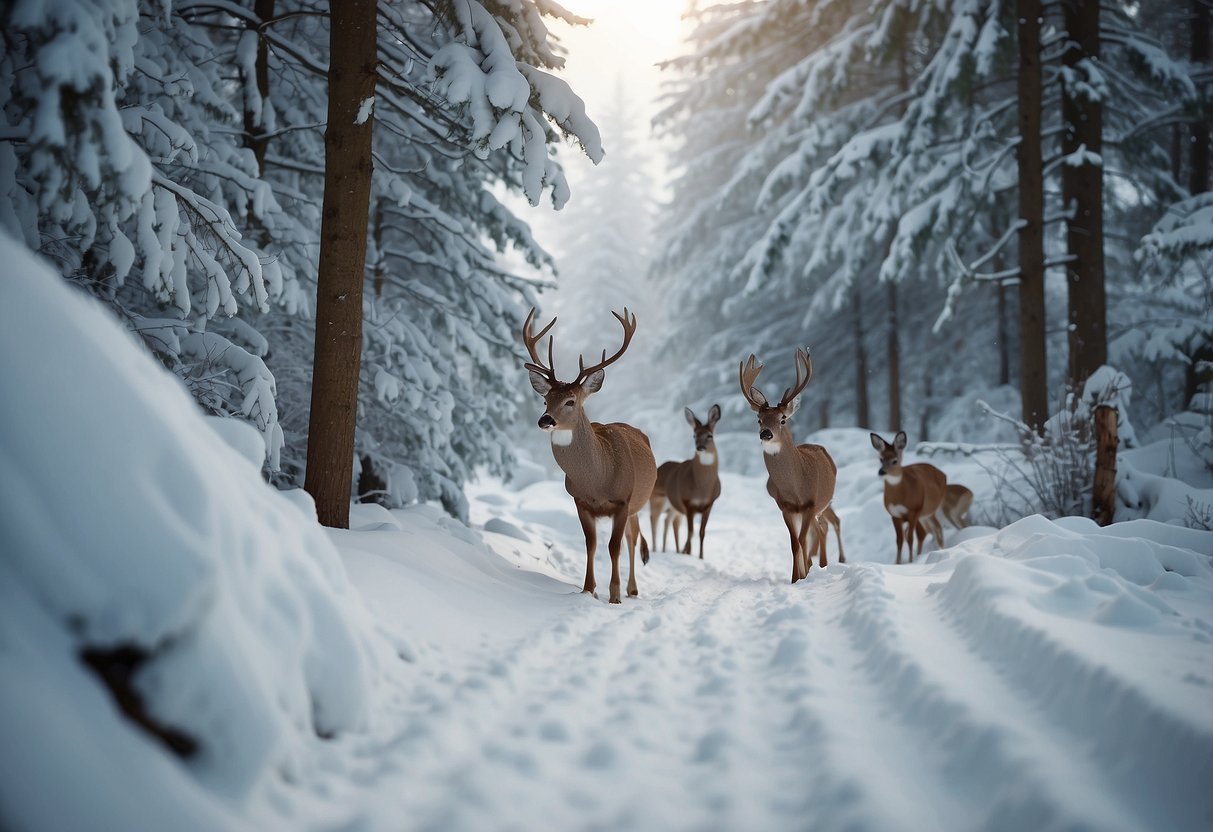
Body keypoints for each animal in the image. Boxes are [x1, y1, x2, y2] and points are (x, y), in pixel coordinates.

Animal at [519, 306, 655, 606]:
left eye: (570, 401)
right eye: (545, 399)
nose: (545, 420)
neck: (598, 480)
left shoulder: (622, 500)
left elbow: (614, 547)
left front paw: (614, 595)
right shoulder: (580, 501)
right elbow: (590, 545)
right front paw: (588, 589)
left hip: (637, 502)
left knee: (632, 539)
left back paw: (632, 589)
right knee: (631, 536)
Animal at [645, 405, 718, 557]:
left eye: (710, 435)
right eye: (694, 435)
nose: (700, 448)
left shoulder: (708, 506)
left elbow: (701, 533)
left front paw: (700, 556)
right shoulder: (689, 504)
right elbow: (691, 532)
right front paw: (688, 553)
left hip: (674, 508)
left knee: (669, 521)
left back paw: (669, 550)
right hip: (657, 500)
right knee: (654, 520)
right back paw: (655, 549)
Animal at [732, 349, 839, 584]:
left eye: (782, 419)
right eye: (759, 419)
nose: (766, 434)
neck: (796, 489)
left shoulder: (810, 505)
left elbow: (802, 540)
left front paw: (803, 576)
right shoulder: (785, 508)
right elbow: (794, 543)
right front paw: (795, 578)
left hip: (822, 506)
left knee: (821, 530)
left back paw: (821, 565)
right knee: (815, 533)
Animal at [868, 434, 950, 562]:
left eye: (894, 460)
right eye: (881, 459)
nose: (881, 472)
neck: (900, 497)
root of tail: (943, 473)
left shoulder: (914, 510)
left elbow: (910, 538)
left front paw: (911, 561)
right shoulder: (894, 514)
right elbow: (899, 540)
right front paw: (897, 562)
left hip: (928, 509)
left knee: (931, 530)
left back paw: (939, 550)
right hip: (926, 513)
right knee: (931, 528)